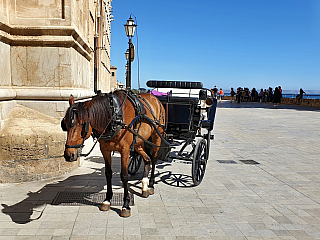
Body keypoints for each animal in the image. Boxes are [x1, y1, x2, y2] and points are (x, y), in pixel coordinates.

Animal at [61, 90, 165, 218]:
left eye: (82, 125)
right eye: (64, 124)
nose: (69, 154)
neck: (114, 117)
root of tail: (155, 98)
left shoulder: (125, 150)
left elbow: (124, 176)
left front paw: (126, 205)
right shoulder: (105, 150)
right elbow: (108, 173)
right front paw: (107, 200)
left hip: (157, 136)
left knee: (154, 158)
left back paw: (150, 184)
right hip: (138, 141)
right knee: (146, 159)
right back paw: (144, 186)